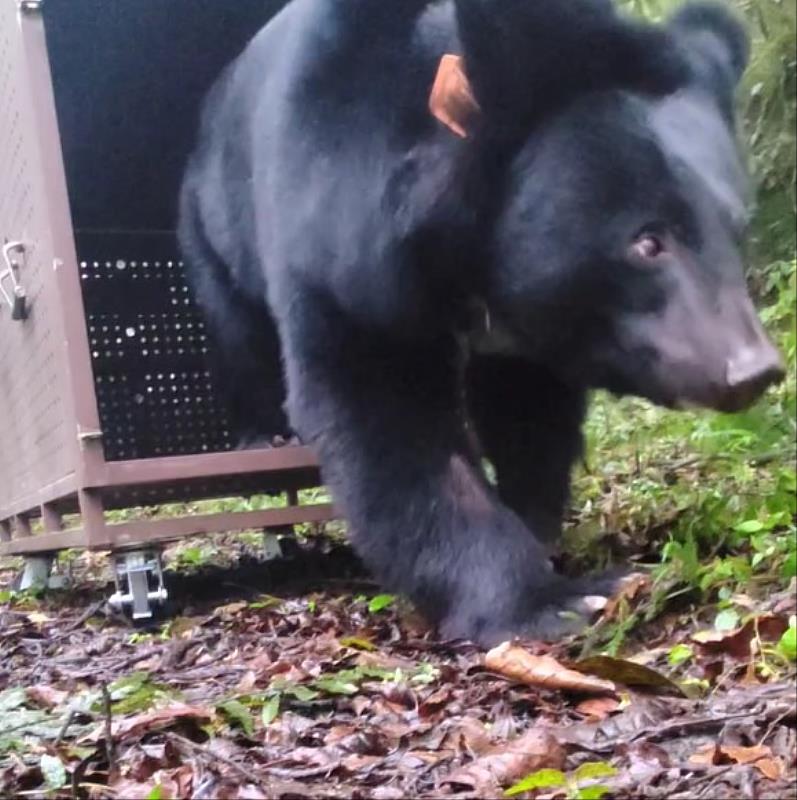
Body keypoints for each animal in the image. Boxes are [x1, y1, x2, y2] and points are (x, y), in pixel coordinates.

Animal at [177, 0, 780, 644]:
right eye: (647, 242)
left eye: (737, 230)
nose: (753, 370)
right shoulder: (339, 246)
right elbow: (388, 422)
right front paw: (553, 600)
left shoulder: (526, 334)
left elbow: (530, 419)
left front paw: (537, 527)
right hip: (210, 226)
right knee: (238, 332)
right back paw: (263, 432)